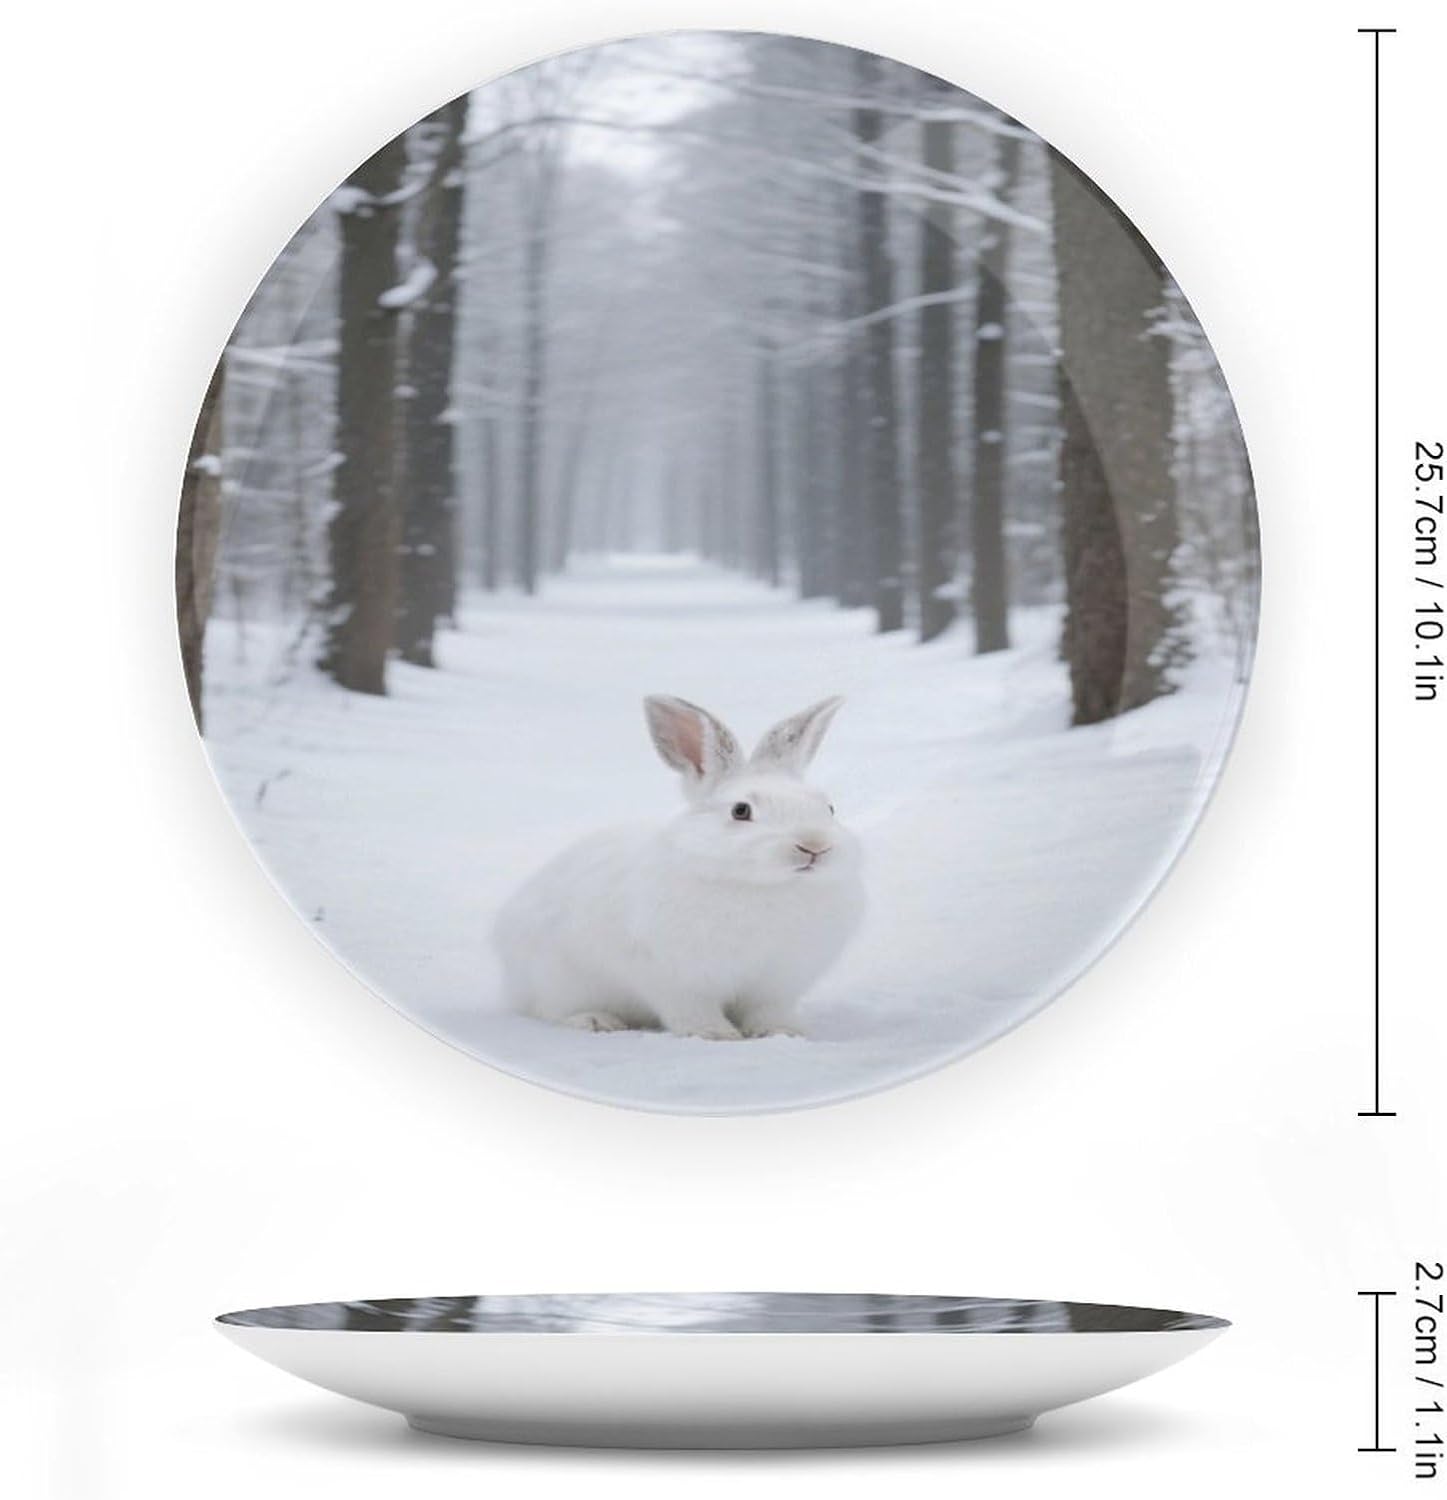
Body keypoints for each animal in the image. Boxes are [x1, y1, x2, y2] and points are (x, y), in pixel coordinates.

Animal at [493, 695, 865, 1040]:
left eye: (829, 808)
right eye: (741, 811)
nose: (815, 846)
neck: (765, 886)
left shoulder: (775, 983)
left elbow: (766, 1011)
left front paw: (783, 1032)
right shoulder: (674, 977)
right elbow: (690, 1009)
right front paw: (715, 1034)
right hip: (559, 980)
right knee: (551, 1010)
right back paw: (596, 1021)